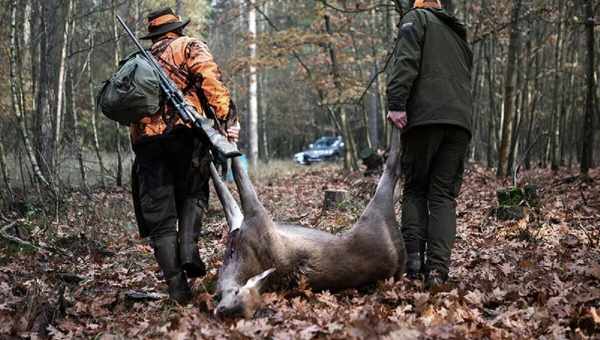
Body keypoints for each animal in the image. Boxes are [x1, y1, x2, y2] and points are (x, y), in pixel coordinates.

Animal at [209, 128, 406, 318]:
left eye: (237, 293)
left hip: (375, 210)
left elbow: (235, 182)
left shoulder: (255, 220)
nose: (221, 309)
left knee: (391, 170)